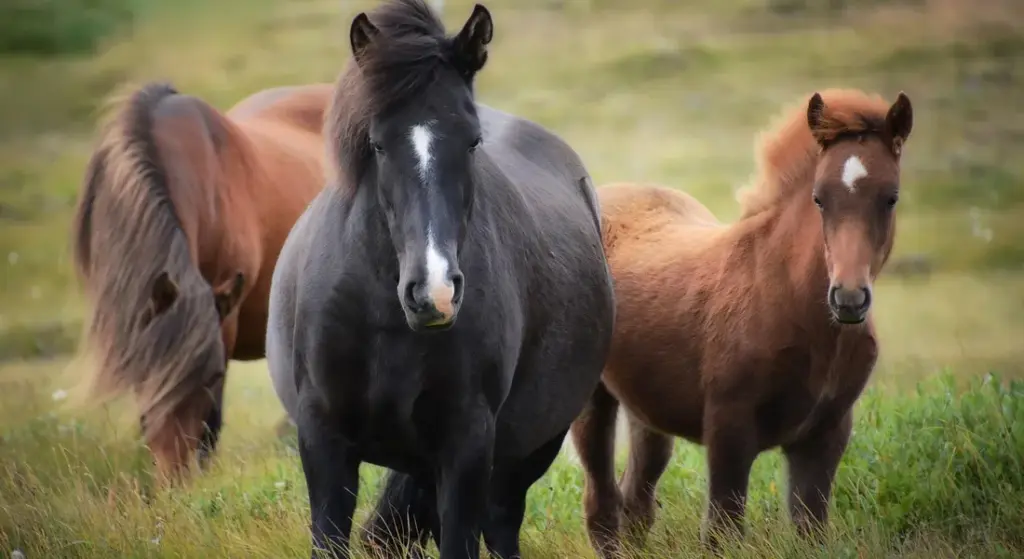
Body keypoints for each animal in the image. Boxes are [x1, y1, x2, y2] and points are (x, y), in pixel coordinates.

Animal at [265, 1, 615, 557]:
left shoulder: (466, 446)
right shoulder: (323, 441)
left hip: (528, 451)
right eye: (377, 144)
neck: (384, 320)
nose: (435, 294)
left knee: (501, 524)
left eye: (472, 142)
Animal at [570, 88, 913, 556]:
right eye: (819, 198)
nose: (848, 298)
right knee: (601, 505)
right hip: (592, 399)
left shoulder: (825, 434)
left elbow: (810, 530)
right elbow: (722, 531)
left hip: (648, 408)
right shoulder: (729, 430)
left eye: (891, 197)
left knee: (635, 499)